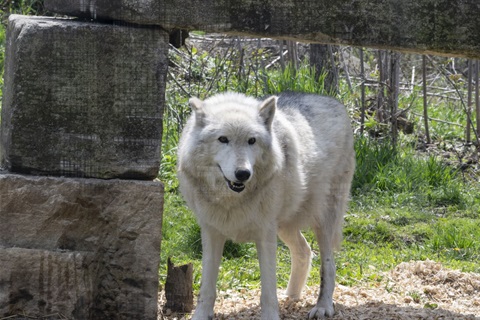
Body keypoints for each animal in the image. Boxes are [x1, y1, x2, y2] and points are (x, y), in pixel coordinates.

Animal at [178, 91, 354, 318]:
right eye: (223, 139)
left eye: (252, 141)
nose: (243, 174)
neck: (231, 201)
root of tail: (336, 102)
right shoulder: (211, 232)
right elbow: (207, 287)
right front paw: (201, 315)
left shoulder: (265, 234)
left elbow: (268, 289)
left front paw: (271, 315)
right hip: (285, 226)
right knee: (305, 250)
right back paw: (291, 297)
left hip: (322, 222)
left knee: (328, 265)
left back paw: (323, 306)